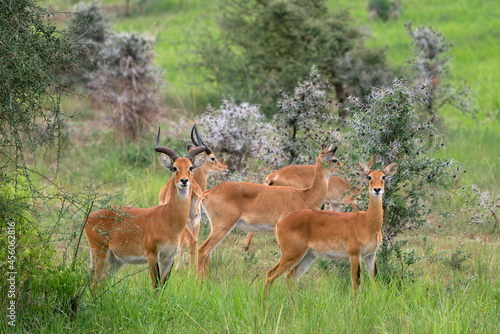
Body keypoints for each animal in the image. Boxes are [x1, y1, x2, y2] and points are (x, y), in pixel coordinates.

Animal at [85, 129, 206, 288]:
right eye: (174, 168)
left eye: (190, 167)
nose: (184, 180)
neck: (168, 220)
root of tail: (90, 216)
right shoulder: (152, 255)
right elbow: (155, 285)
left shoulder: (169, 258)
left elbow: (162, 286)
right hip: (100, 253)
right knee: (94, 282)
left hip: (115, 260)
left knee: (102, 282)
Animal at [157, 125, 228, 268]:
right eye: (213, 157)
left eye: (190, 167)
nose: (225, 167)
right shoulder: (194, 220)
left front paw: (178, 267)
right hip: (195, 219)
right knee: (194, 242)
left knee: (191, 241)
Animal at [197, 147, 338, 278]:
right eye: (334, 159)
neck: (304, 196)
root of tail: (207, 192)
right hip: (222, 227)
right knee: (203, 250)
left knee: (207, 253)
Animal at [264, 163, 396, 294]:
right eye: (369, 177)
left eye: (383, 176)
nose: (377, 189)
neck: (368, 222)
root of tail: (280, 224)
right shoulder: (354, 255)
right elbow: (356, 284)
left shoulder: (371, 255)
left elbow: (375, 282)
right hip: (291, 254)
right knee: (270, 274)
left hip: (308, 255)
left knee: (291, 277)